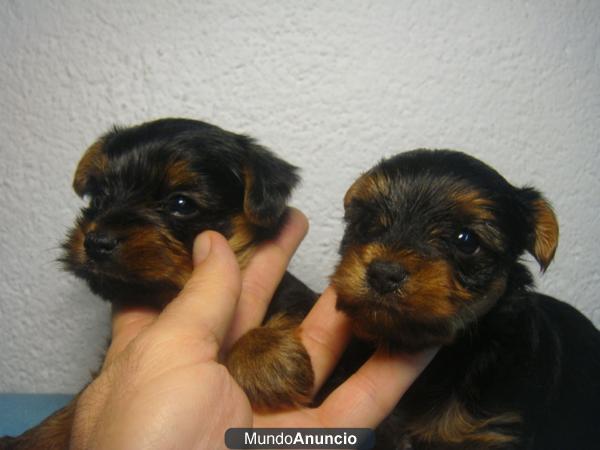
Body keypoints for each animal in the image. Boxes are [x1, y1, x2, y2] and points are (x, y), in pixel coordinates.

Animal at [0, 118, 316, 448]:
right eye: (99, 197)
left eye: (181, 203)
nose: (96, 242)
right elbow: (73, 409)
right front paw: (31, 437)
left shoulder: (299, 299)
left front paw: (262, 355)